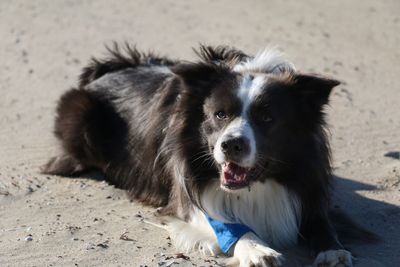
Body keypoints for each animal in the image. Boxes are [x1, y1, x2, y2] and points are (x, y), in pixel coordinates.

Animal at [43, 45, 372, 266]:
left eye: (266, 118)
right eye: (220, 114)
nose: (231, 145)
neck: (258, 186)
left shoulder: (308, 186)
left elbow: (322, 222)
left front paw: (334, 249)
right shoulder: (188, 191)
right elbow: (227, 224)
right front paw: (257, 249)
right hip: (80, 117)